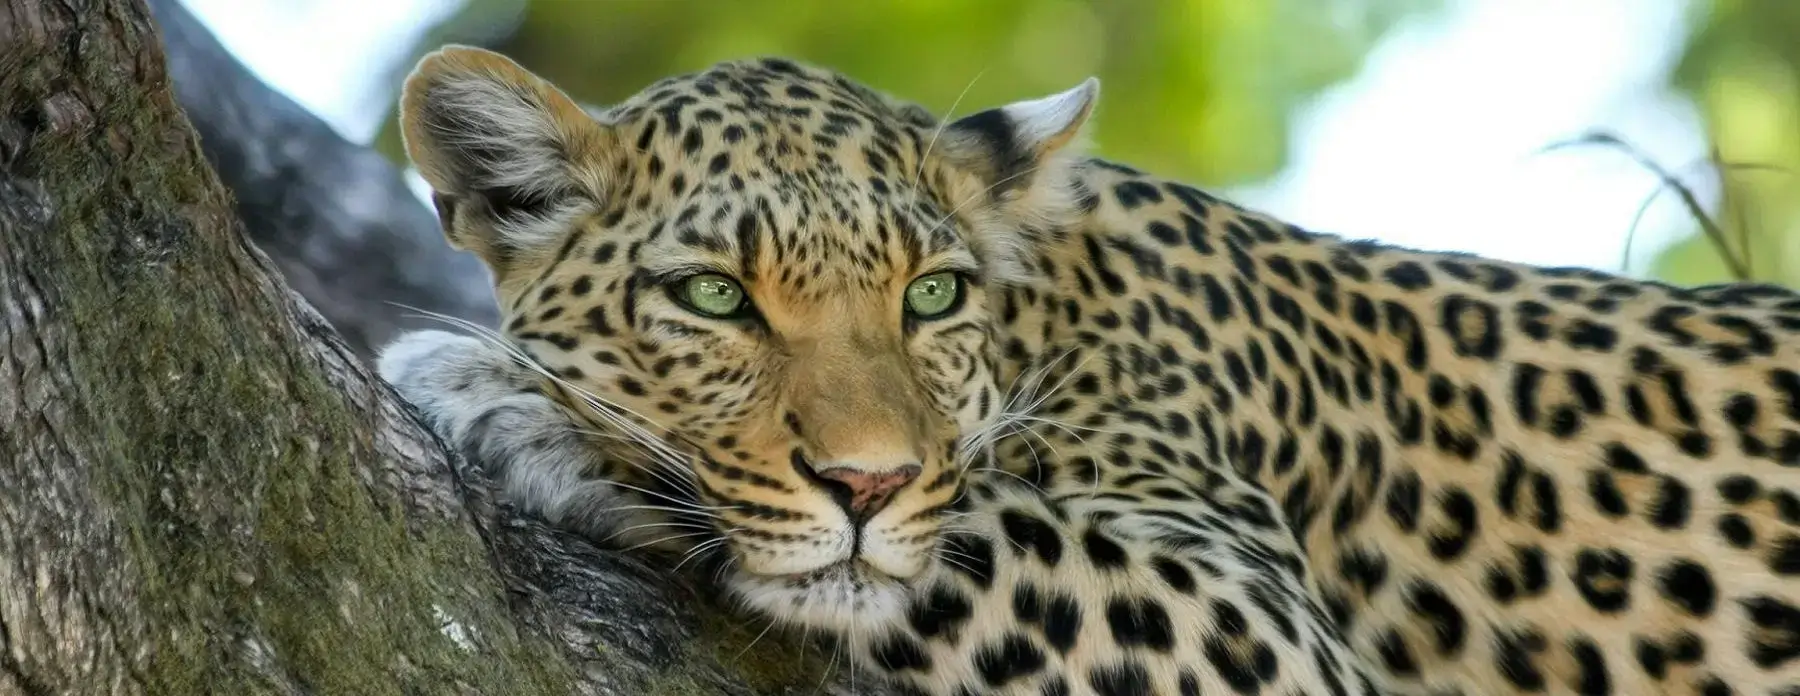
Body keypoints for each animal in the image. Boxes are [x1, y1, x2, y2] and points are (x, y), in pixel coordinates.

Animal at [377, 45, 1800, 696]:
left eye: (932, 295)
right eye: (715, 297)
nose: (866, 485)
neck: (1051, 314)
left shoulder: (1258, 630)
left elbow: (984, 531)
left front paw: (519, 403)